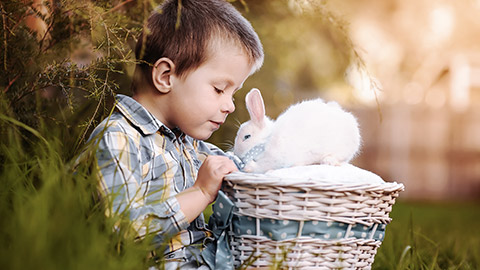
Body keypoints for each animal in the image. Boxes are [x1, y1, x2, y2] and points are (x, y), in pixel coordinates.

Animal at [232, 88, 360, 173]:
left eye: (247, 136)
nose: (235, 152)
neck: (266, 140)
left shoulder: (272, 160)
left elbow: (261, 167)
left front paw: (248, 167)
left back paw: (328, 160)